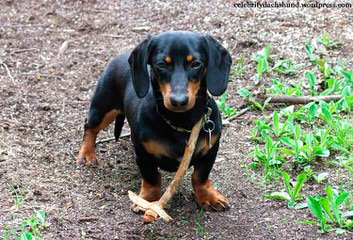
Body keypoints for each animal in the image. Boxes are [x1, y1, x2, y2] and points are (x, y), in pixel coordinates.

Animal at [77, 31, 231, 211]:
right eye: (162, 64)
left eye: (196, 64)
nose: (179, 101)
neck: (181, 122)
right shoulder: (143, 153)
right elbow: (151, 177)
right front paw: (148, 200)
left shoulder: (211, 149)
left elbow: (200, 176)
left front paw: (208, 197)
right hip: (103, 107)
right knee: (90, 127)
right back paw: (87, 154)